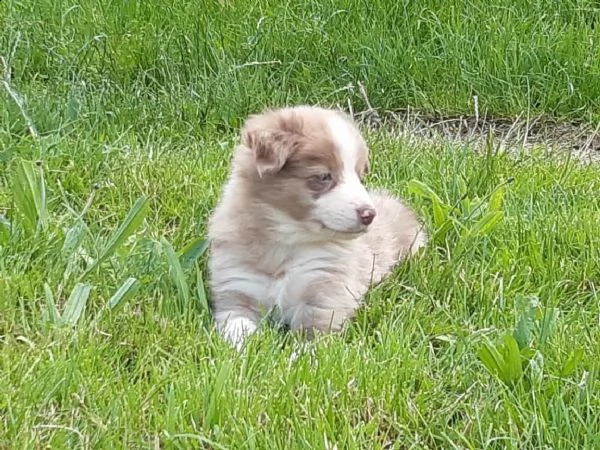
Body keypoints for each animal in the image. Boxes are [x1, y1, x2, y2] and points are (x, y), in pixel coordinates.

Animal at [206, 106, 426, 352]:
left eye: (359, 176)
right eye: (323, 176)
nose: (369, 214)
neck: (288, 241)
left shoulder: (326, 292)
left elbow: (311, 336)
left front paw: (297, 355)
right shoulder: (237, 287)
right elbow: (237, 327)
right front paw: (244, 349)